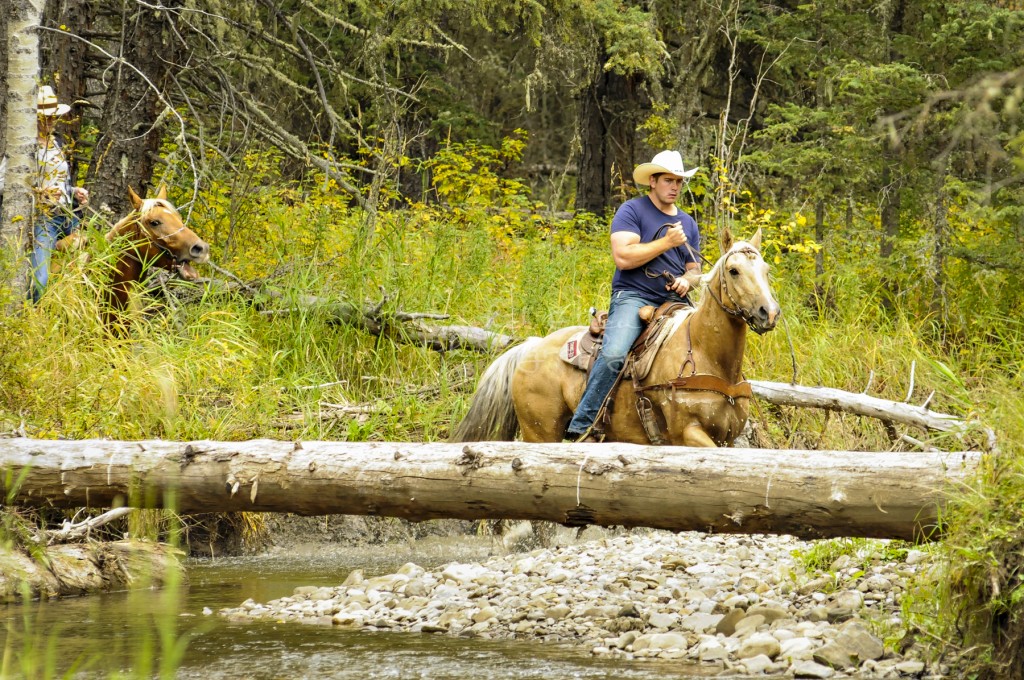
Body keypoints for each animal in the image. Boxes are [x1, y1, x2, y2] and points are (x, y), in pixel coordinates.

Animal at [452, 228, 778, 448]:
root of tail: (531, 347)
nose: (769, 312)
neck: (704, 352)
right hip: (540, 432)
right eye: (734, 270)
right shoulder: (687, 433)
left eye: (765, 269)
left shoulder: (727, 439)